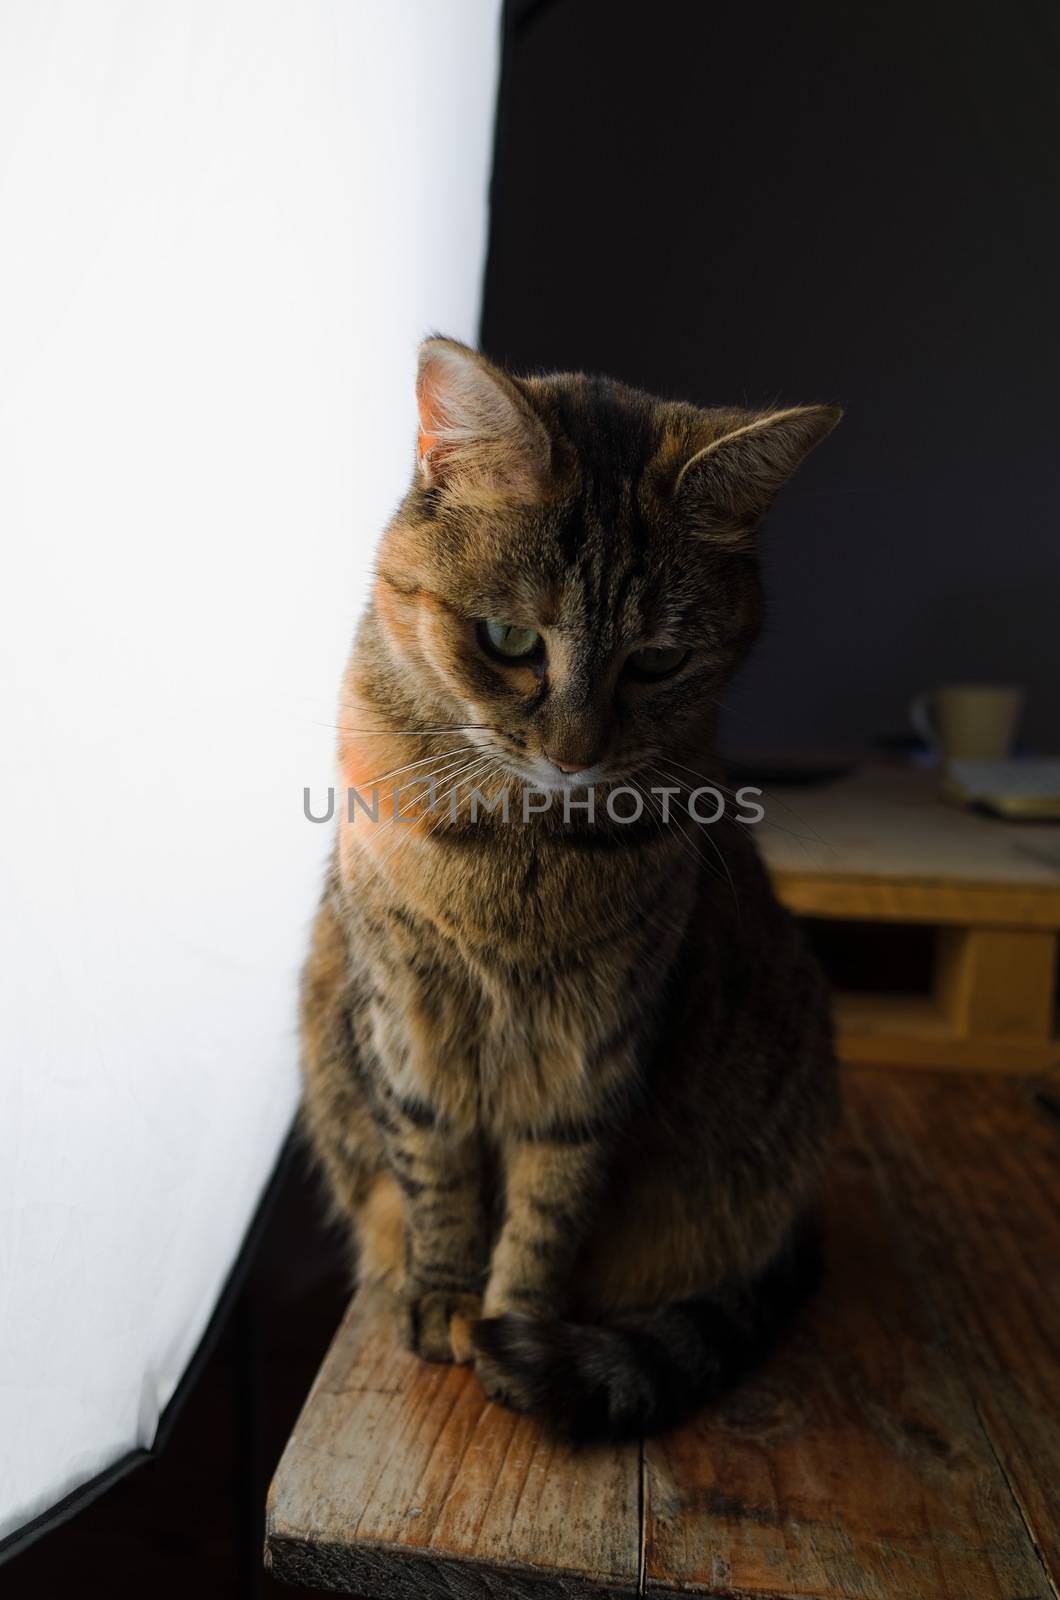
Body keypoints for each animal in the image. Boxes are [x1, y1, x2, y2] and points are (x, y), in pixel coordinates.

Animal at [301, 337, 845, 1440]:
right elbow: (434, 1173)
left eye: (659, 660)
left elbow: (550, 1206)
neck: (514, 847)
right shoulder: (405, 1017)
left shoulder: (597, 1050)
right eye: (510, 641)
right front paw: (444, 1299)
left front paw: (509, 1324)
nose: (573, 755)